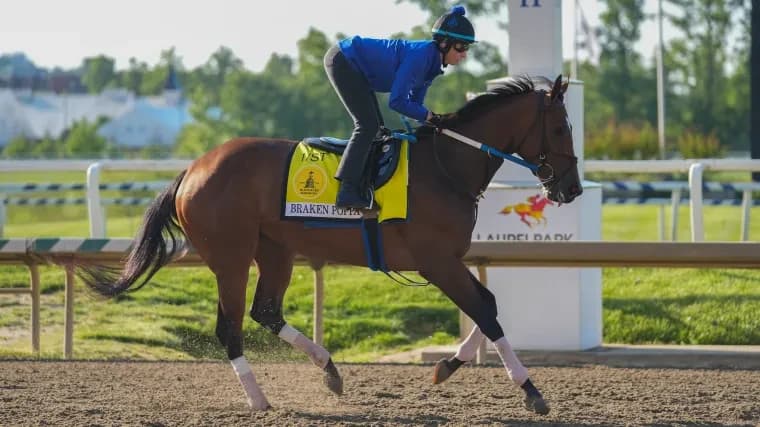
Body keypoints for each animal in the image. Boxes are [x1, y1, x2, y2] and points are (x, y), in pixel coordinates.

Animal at [74, 75, 582, 416]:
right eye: (562, 129)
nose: (572, 188)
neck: (446, 166)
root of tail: (192, 169)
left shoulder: (448, 262)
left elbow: (488, 306)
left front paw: (446, 367)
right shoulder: (436, 261)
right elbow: (486, 311)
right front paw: (531, 391)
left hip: (275, 250)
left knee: (266, 311)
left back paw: (329, 370)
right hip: (231, 258)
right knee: (230, 327)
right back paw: (259, 400)